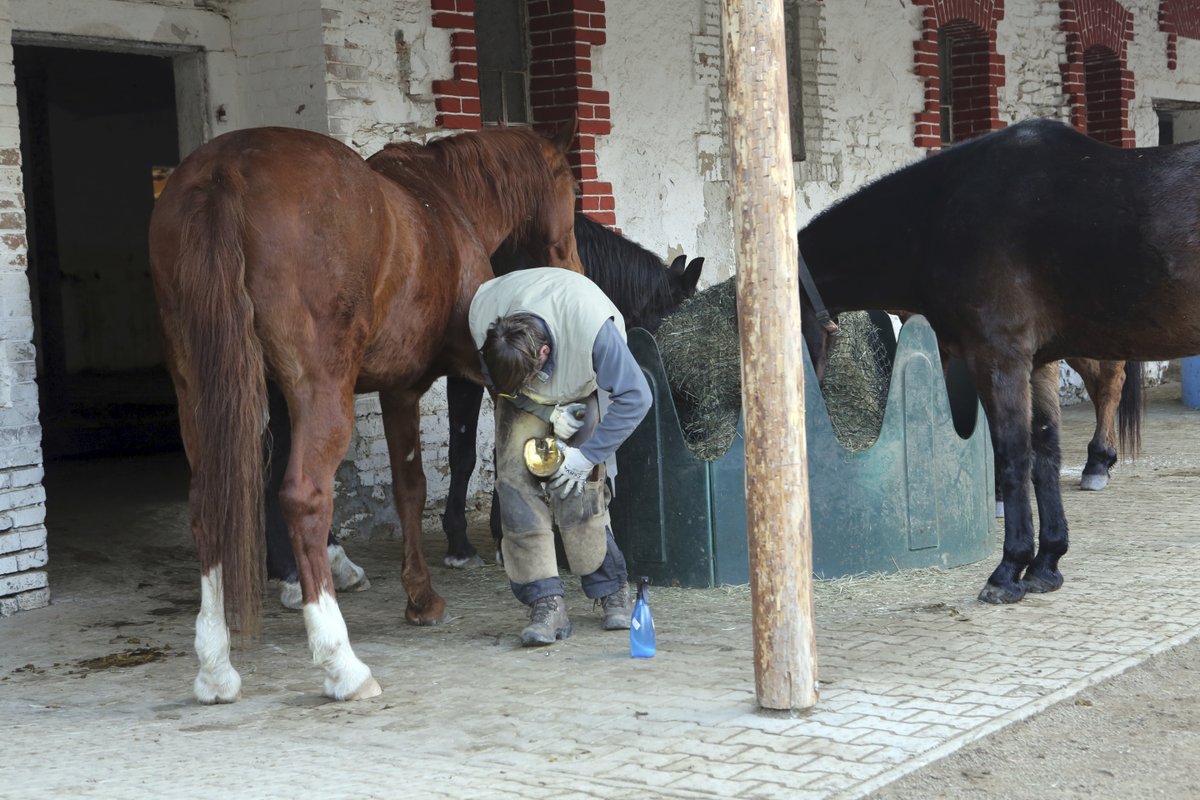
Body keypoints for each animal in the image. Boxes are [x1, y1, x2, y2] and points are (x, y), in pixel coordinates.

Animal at [148, 122, 580, 705]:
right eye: (571, 192)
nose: (575, 268)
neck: (444, 199)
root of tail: (225, 170)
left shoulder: (397, 389)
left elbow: (408, 487)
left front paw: (420, 597)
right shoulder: (477, 372)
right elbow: (464, 463)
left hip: (201, 392)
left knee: (209, 504)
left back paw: (216, 668)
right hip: (319, 392)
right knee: (303, 498)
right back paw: (341, 663)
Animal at [796, 117, 1200, 606]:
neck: (939, 217)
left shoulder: (997, 359)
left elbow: (1012, 456)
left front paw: (1008, 571)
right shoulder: (1038, 364)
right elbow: (1044, 453)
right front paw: (1046, 565)